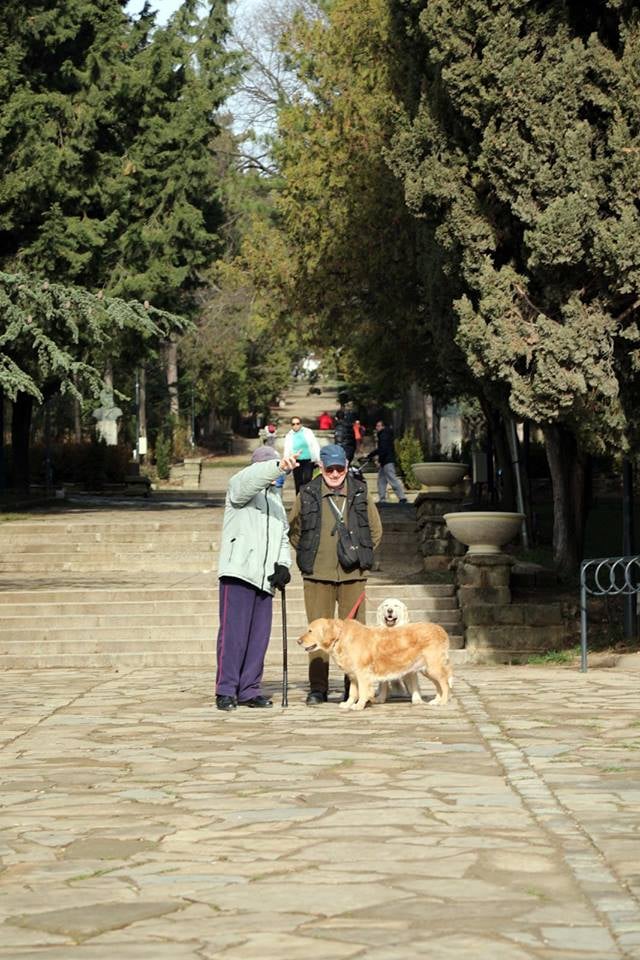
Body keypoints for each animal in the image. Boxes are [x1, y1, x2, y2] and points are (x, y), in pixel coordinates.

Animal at [298, 620, 452, 708]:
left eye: (310, 630)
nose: (298, 641)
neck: (340, 638)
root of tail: (441, 630)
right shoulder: (353, 675)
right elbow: (353, 692)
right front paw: (348, 704)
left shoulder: (362, 673)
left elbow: (362, 691)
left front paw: (359, 705)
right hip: (427, 669)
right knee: (439, 685)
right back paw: (436, 701)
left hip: (433, 667)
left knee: (444, 683)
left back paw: (443, 701)